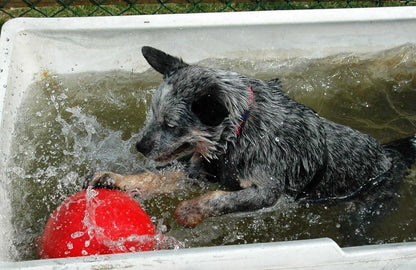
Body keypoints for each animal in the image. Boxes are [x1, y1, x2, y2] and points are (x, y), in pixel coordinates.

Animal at [84, 46, 416, 228]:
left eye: (171, 124)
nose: (139, 146)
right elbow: (155, 175)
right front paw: (115, 178)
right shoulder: (199, 168)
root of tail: (391, 156)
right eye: (153, 115)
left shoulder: (267, 190)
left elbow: (222, 199)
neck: (238, 135)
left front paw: (191, 209)